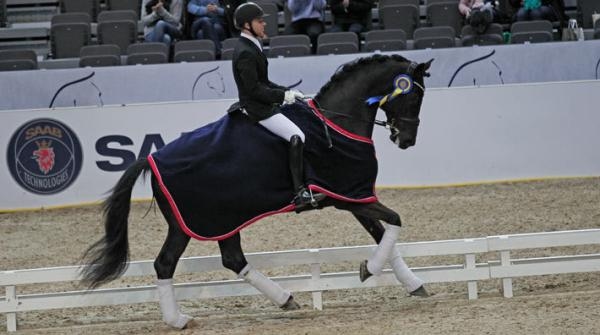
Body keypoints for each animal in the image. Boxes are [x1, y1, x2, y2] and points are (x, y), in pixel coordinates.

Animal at [82, 53, 434, 330]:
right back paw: (179, 320)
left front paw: (414, 284)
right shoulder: (348, 196)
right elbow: (395, 221)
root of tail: (152, 160)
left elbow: (384, 234)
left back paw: (281, 299)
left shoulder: (353, 196)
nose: (406, 140)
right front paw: (370, 269)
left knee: (226, 259)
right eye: (414, 97)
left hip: (219, 220)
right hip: (198, 221)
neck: (335, 122)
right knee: (169, 263)